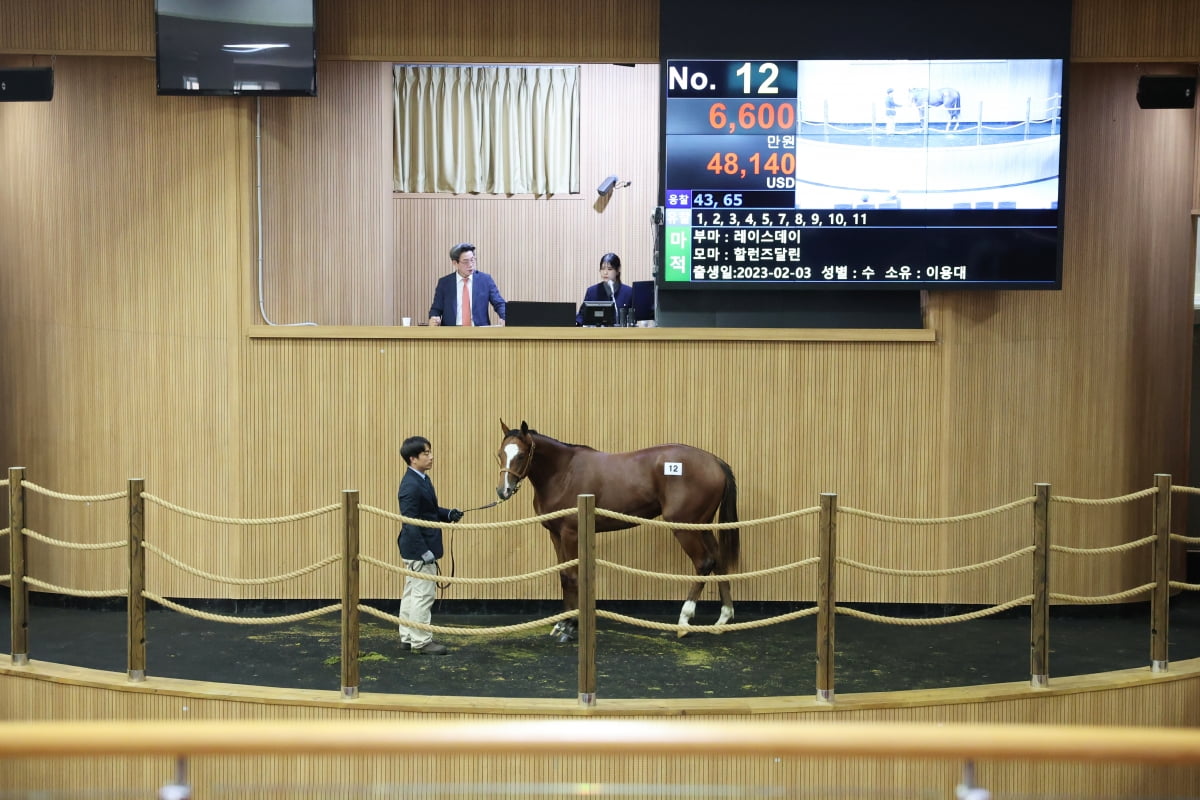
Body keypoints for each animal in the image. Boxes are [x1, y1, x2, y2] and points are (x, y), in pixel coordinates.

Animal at [492, 422, 734, 642]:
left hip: (685, 527)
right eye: (500, 454)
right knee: (719, 561)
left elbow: (573, 576)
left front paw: (570, 626)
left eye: (521, 455)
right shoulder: (556, 535)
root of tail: (715, 462)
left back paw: (684, 621)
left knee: (704, 562)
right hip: (703, 526)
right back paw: (722, 620)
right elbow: (564, 576)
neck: (564, 472)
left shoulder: (570, 534)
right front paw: (562, 624)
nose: (503, 490)